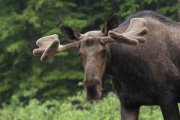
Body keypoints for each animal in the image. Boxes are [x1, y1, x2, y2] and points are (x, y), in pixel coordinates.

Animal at [33, 10, 180, 120]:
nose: (91, 89)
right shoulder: (128, 103)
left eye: (104, 51)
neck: (129, 74)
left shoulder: (168, 97)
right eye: (79, 54)